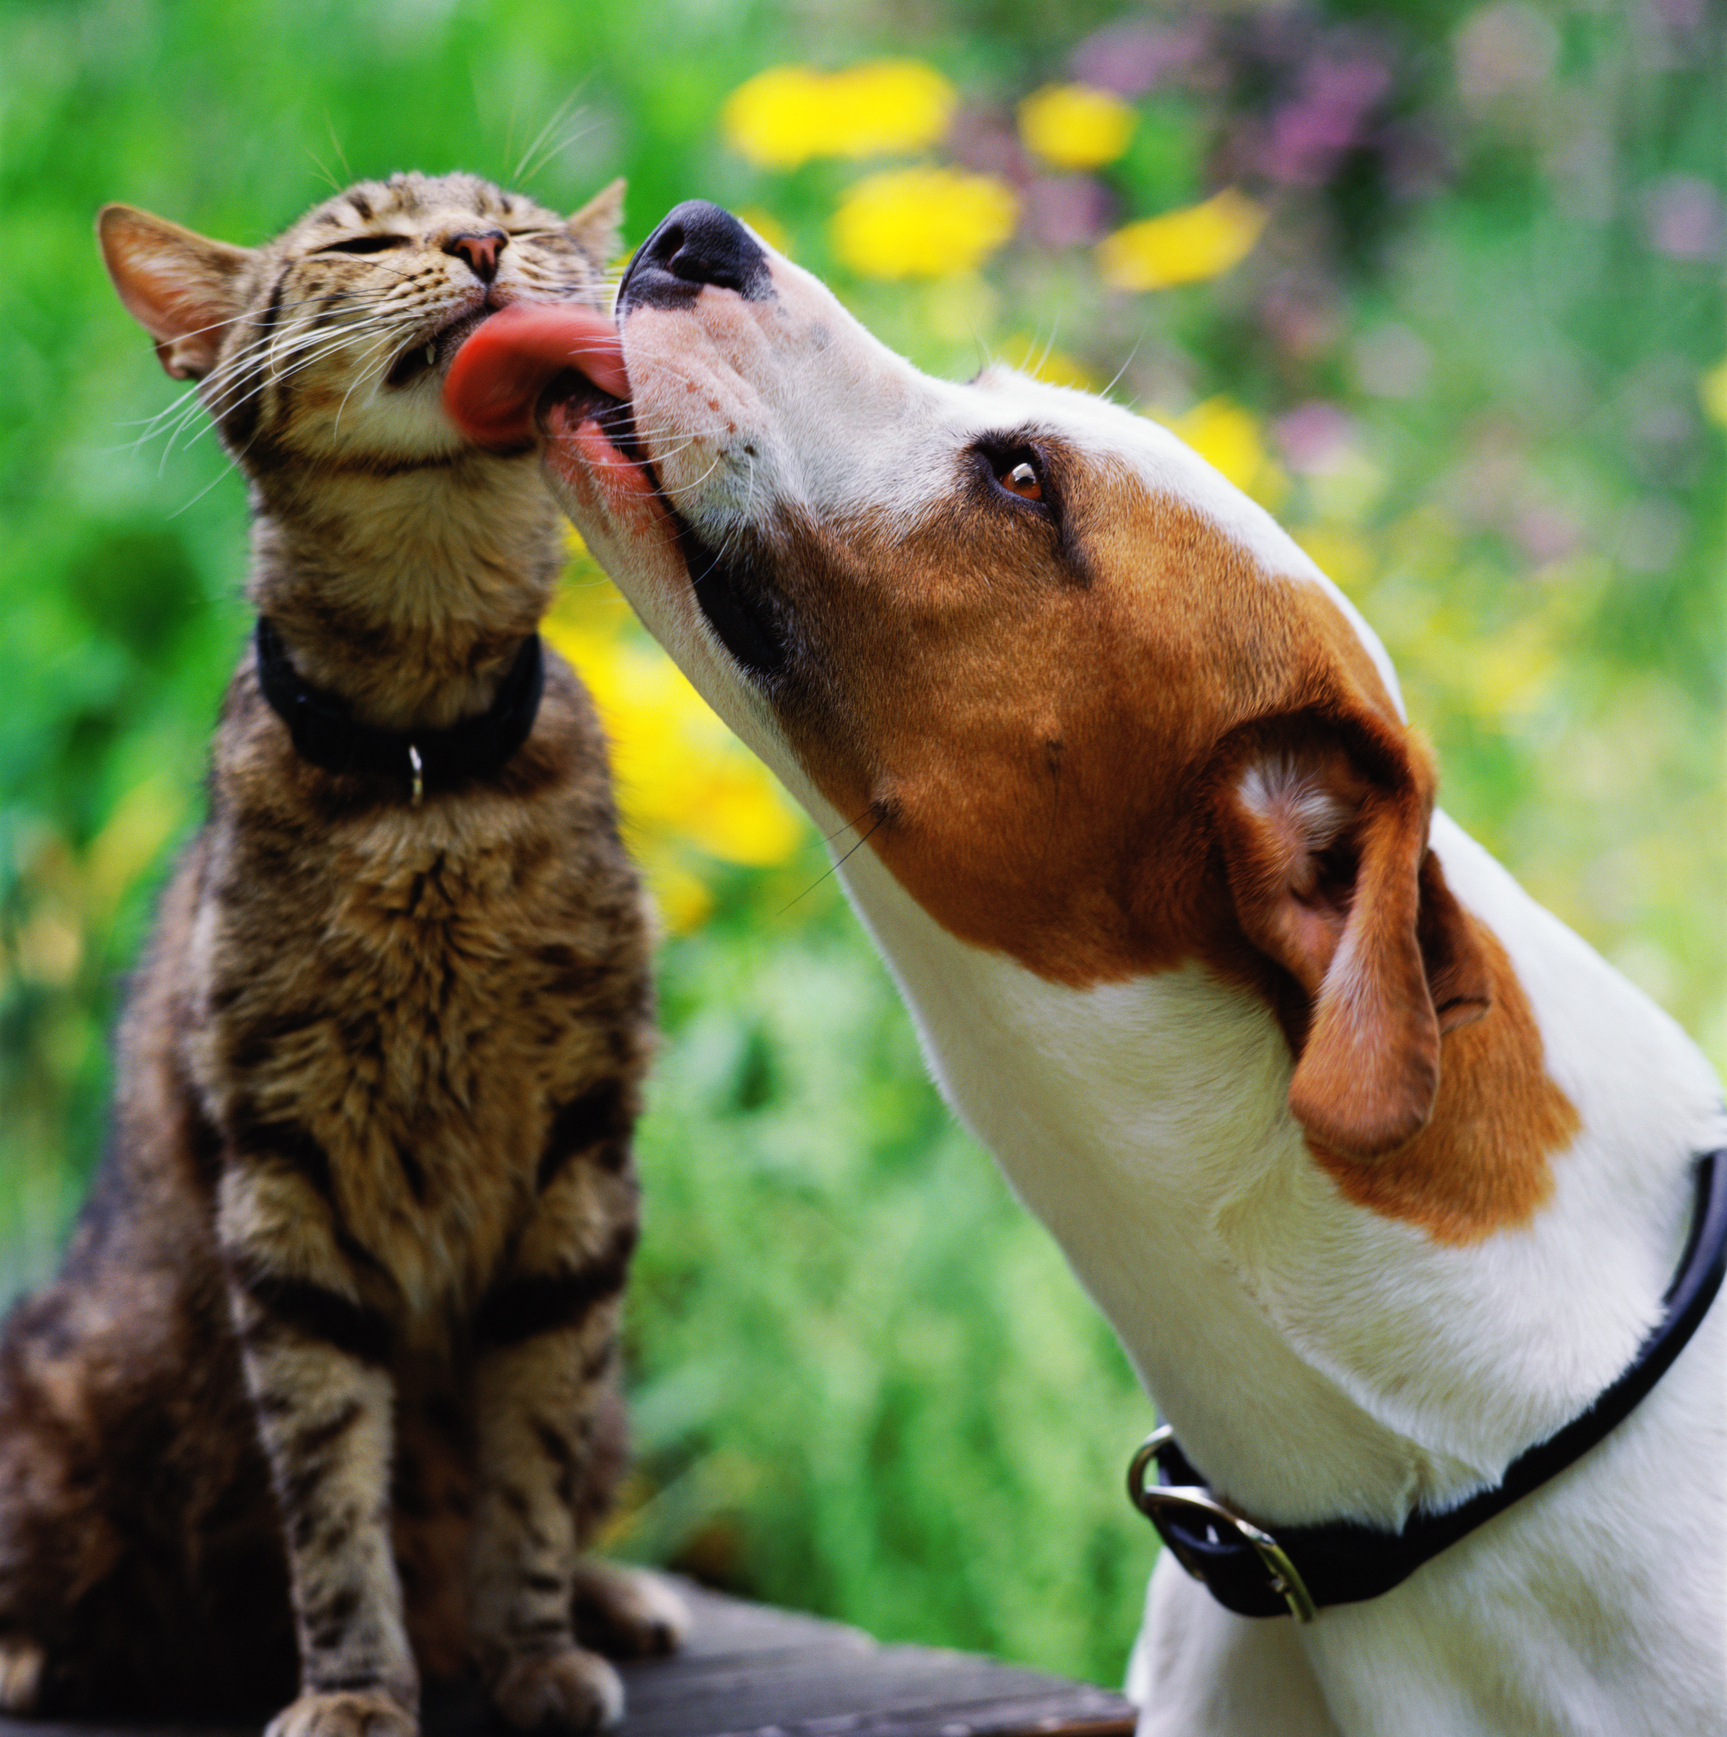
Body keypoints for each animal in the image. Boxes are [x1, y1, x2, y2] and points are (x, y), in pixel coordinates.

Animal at [0, 172, 681, 1737]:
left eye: (516, 222)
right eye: (365, 241)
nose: (479, 247)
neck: (423, 774)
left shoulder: (579, 1156)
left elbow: (532, 1453)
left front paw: (535, 1645)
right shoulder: (284, 1178)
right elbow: (327, 1491)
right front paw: (360, 1686)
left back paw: (608, 1598)